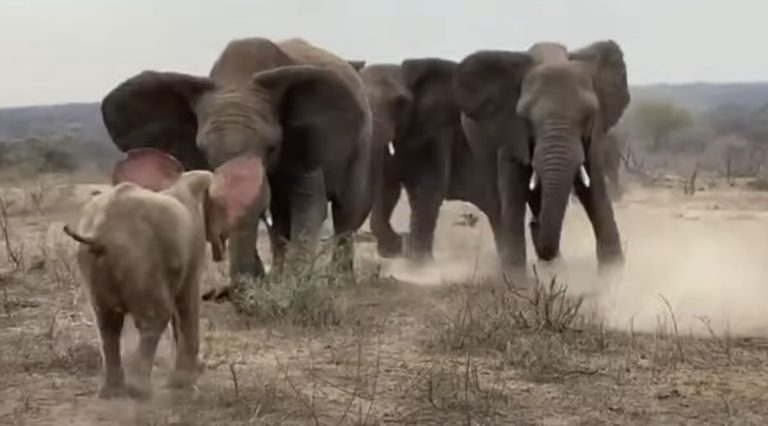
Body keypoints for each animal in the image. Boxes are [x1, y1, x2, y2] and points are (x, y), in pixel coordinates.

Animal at [63, 148, 262, 399]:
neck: (184, 182)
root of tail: (100, 235)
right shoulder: (193, 246)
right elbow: (187, 303)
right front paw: (185, 385)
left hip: (92, 265)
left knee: (108, 323)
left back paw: (112, 392)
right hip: (139, 261)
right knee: (154, 317)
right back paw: (140, 392)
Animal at [100, 37, 377, 295]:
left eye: (272, 147)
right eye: (203, 151)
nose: (225, 291)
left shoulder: (304, 142)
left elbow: (308, 203)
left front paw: (293, 288)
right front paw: (274, 284)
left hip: (362, 145)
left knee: (347, 211)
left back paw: (341, 284)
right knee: (281, 216)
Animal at [360, 59, 494, 262]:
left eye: (400, 103)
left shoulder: (437, 134)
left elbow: (426, 190)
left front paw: (417, 261)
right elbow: (387, 190)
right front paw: (395, 249)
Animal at [453, 40, 630, 282]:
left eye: (589, 115)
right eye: (526, 118)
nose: (534, 224)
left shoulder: (594, 135)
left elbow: (594, 191)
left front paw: (613, 278)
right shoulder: (510, 131)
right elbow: (513, 193)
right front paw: (517, 283)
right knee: (496, 202)